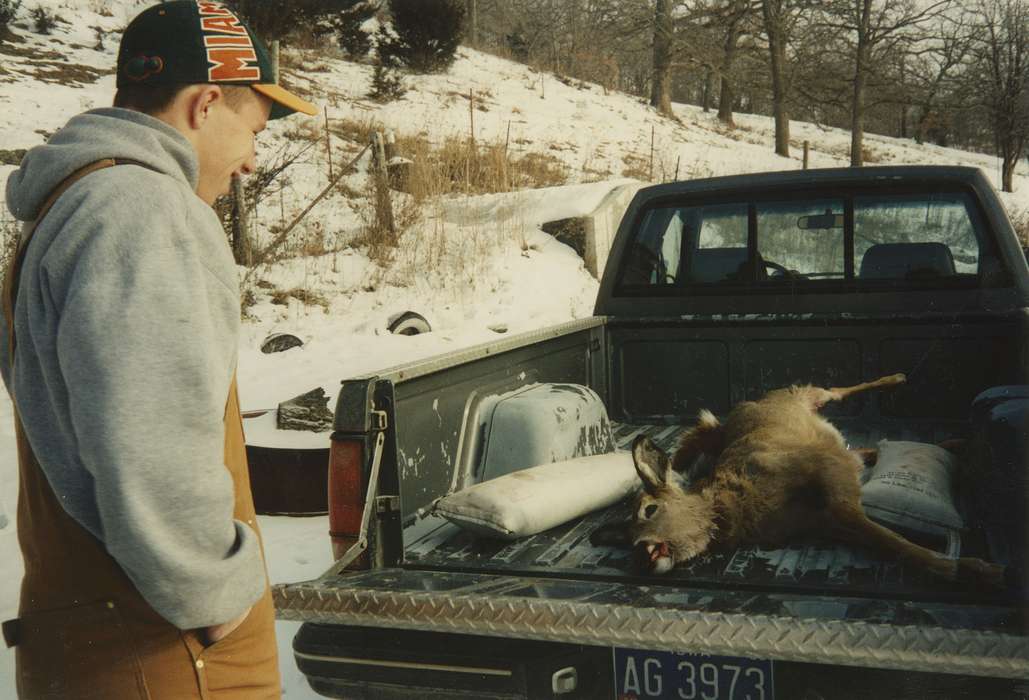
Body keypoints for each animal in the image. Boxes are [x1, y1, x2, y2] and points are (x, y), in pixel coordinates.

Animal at [625, 374, 1004, 588]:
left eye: (649, 509)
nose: (639, 554)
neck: (734, 503)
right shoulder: (827, 518)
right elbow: (884, 539)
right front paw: (971, 569)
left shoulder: (829, 475)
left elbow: (892, 538)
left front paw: (974, 569)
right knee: (863, 448)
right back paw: (953, 443)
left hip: (805, 394)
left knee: (835, 389)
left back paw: (897, 379)